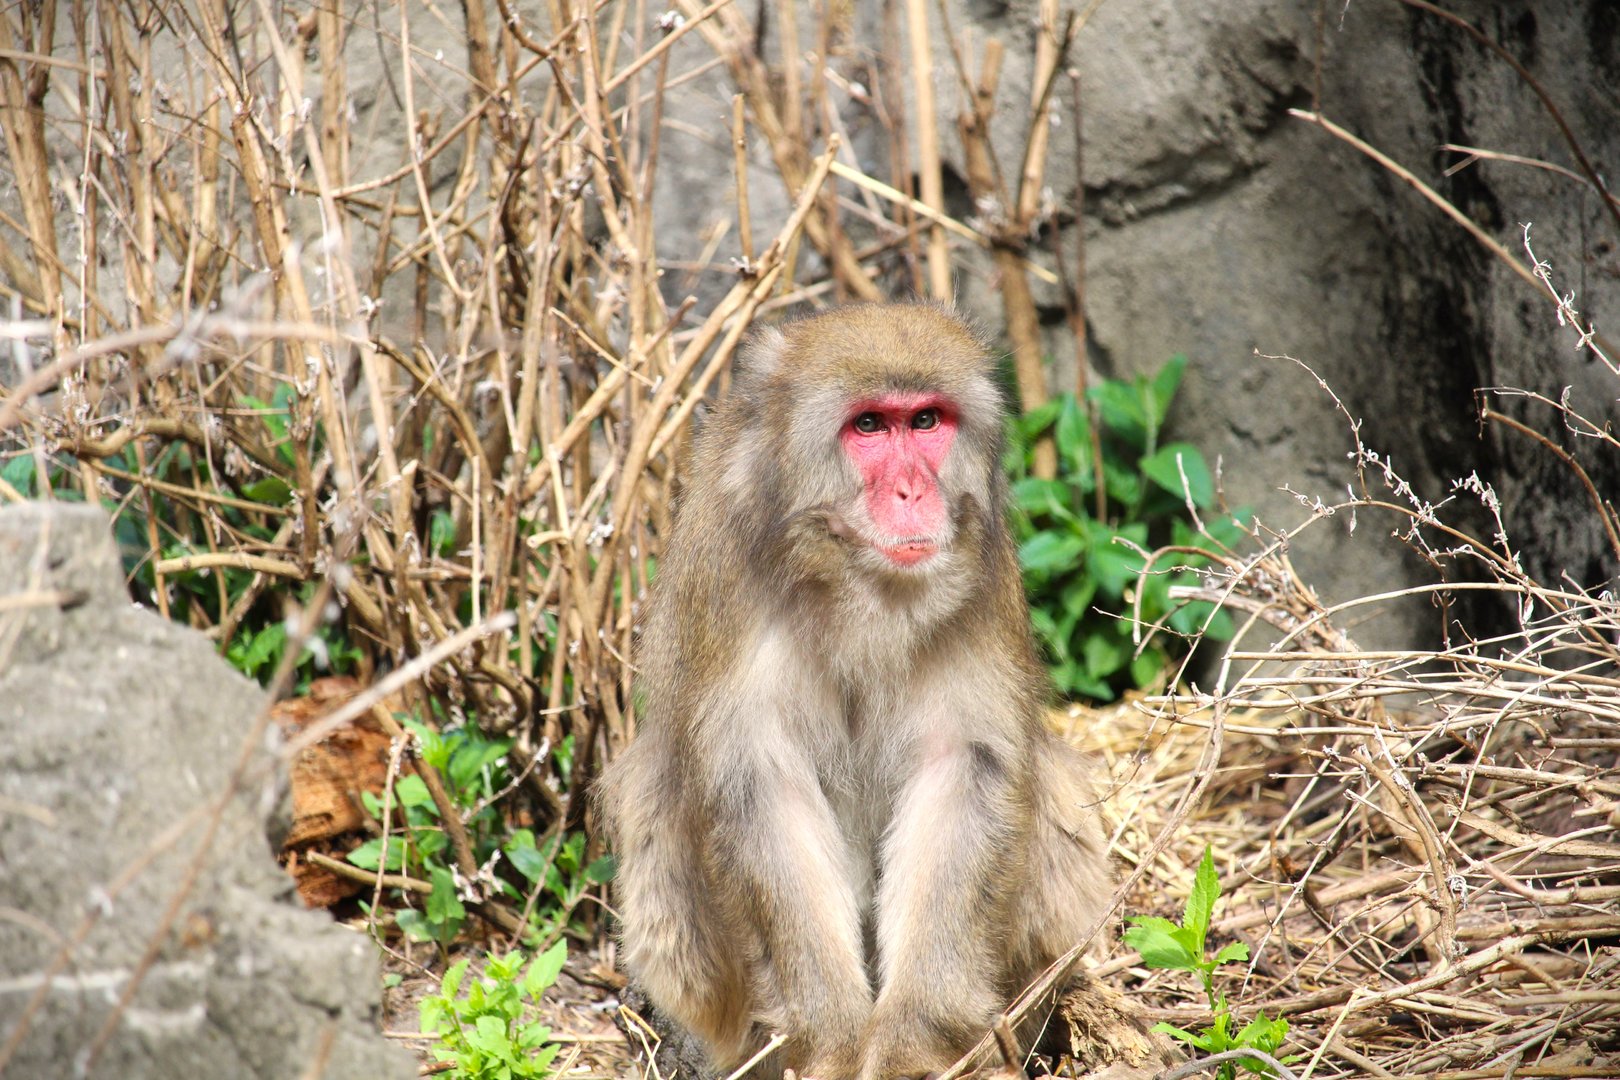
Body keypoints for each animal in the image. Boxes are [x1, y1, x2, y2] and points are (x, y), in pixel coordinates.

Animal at [598, 303, 1114, 1080]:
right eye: (869, 426)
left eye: (925, 421)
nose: (912, 492)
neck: (854, 583)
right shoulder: (728, 581)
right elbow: (760, 786)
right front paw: (832, 1038)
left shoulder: (981, 568)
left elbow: (966, 769)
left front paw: (913, 1041)